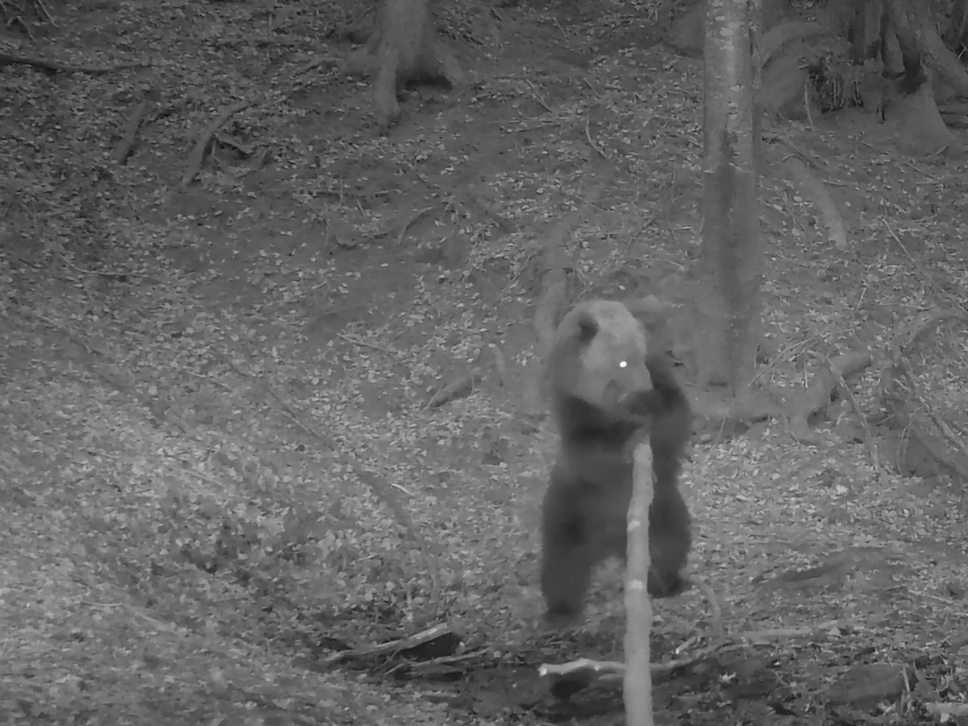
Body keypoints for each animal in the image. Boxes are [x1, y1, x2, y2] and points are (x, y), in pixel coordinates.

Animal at [539, 298, 693, 624]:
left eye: (643, 354)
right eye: (621, 362)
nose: (643, 388)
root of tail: (611, 545)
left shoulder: (663, 384)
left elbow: (674, 418)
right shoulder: (575, 408)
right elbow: (590, 449)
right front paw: (624, 436)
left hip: (660, 510)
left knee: (669, 544)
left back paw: (666, 583)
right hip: (571, 509)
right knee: (561, 563)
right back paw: (560, 610)